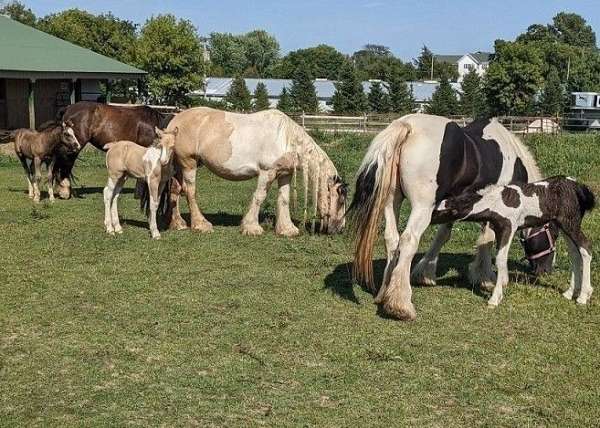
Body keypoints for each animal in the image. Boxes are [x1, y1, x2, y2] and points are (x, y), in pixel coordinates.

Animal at [166, 106, 350, 234]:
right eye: (341, 200)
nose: (340, 229)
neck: (286, 139)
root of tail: (174, 121)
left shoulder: (285, 174)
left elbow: (284, 199)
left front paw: (287, 230)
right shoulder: (267, 173)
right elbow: (259, 197)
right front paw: (251, 228)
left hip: (179, 167)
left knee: (175, 190)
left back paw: (179, 224)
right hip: (188, 164)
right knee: (190, 191)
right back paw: (201, 225)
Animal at [346, 113, 556, 320]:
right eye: (553, 234)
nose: (546, 270)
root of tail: (407, 126)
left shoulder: (454, 205)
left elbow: (443, 236)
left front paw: (425, 273)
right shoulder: (495, 211)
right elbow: (486, 240)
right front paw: (485, 277)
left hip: (391, 202)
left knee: (392, 239)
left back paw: (384, 294)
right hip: (422, 207)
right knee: (408, 241)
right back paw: (401, 305)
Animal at [436, 176, 596, 308]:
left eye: (441, 212)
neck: (495, 202)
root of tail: (579, 187)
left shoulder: (509, 227)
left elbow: (500, 259)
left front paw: (495, 298)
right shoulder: (497, 229)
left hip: (570, 223)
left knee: (586, 248)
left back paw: (583, 296)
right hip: (564, 225)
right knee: (574, 253)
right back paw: (570, 293)